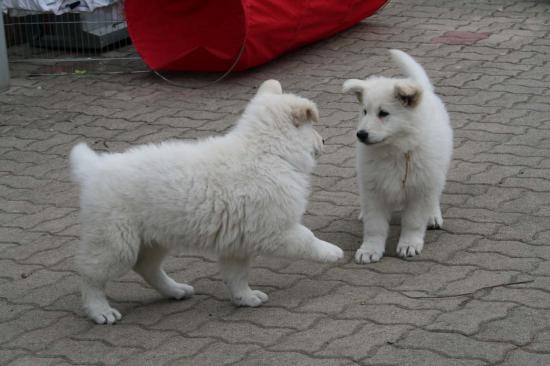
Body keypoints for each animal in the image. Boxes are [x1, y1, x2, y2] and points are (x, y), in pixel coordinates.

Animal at [69, 80, 344, 324]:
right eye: (313, 129)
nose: (324, 141)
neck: (267, 152)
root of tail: (94, 168)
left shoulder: (239, 241)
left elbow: (237, 275)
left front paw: (245, 297)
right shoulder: (276, 229)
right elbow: (307, 238)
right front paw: (332, 252)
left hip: (155, 238)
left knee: (147, 267)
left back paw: (175, 290)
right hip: (114, 242)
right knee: (90, 275)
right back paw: (100, 310)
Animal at [342, 50, 454, 264]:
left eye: (383, 113)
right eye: (365, 112)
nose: (360, 134)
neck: (394, 151)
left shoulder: (419, 188)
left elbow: (413, 221)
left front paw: (409, 244)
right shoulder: (374, 188)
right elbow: (375, 226)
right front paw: (370, 249)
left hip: (437, 169)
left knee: (434, 194)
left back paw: (432, 215)